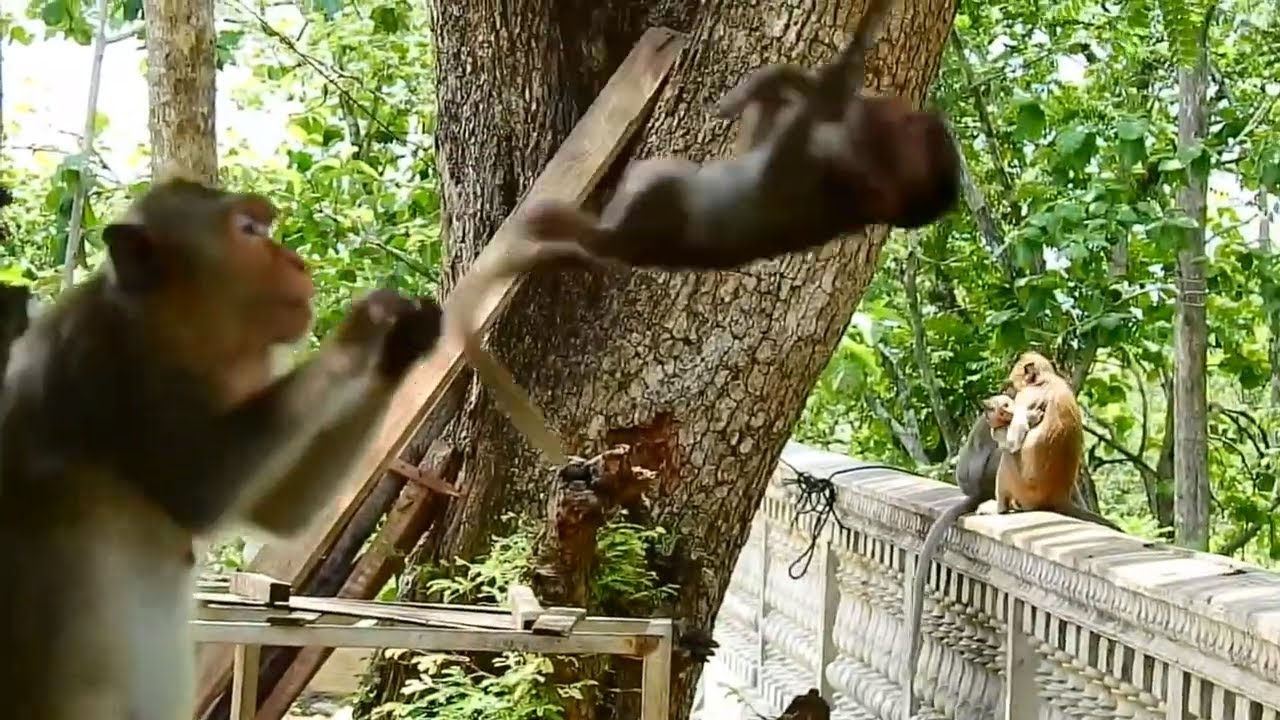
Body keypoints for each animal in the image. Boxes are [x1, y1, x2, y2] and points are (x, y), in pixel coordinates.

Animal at [0, 174, 445, 720]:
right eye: (248, 230)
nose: (298, 263)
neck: (165, 333)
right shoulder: (102, 361)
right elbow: (199, 487)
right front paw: (367, 325)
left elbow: (278, 512)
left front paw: (401, 342)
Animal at [510, 0, 959, 272]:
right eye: (908, 123)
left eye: (903, 137)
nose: (908, 112)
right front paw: (774, 83)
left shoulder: (813, 172)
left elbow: (819, 108)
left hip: (652, 206)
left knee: (628, 205)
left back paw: (549, 220)